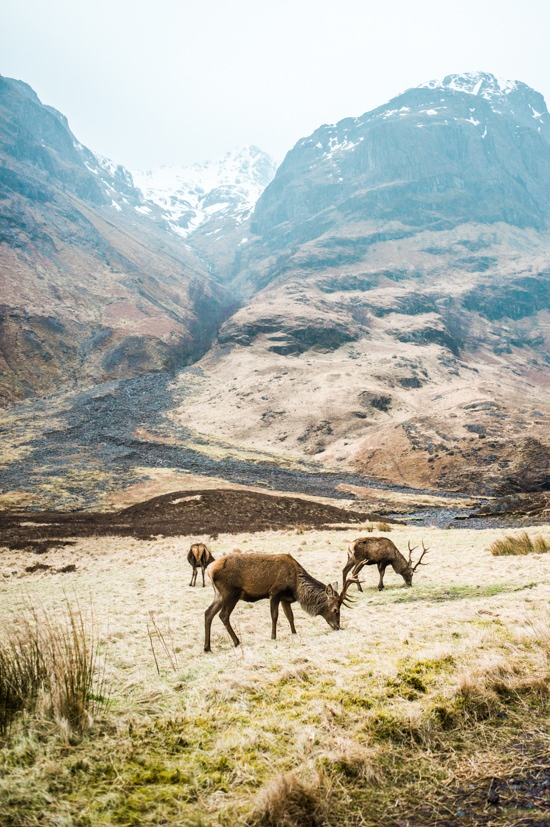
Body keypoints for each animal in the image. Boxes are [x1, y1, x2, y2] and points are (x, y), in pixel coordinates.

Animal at [204, 548, 366, 652]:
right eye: (335, 609)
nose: (338, 627)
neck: (296, 586)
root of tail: (209, 569)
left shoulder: (285, 599)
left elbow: (290, 617)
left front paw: (294, 633)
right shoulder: (274, 592)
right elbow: (275, 616)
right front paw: (273, 637)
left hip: (218, 594)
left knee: (208, 613)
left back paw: (207, 647)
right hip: (231, 592)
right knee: (223, 615)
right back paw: (237, 642)